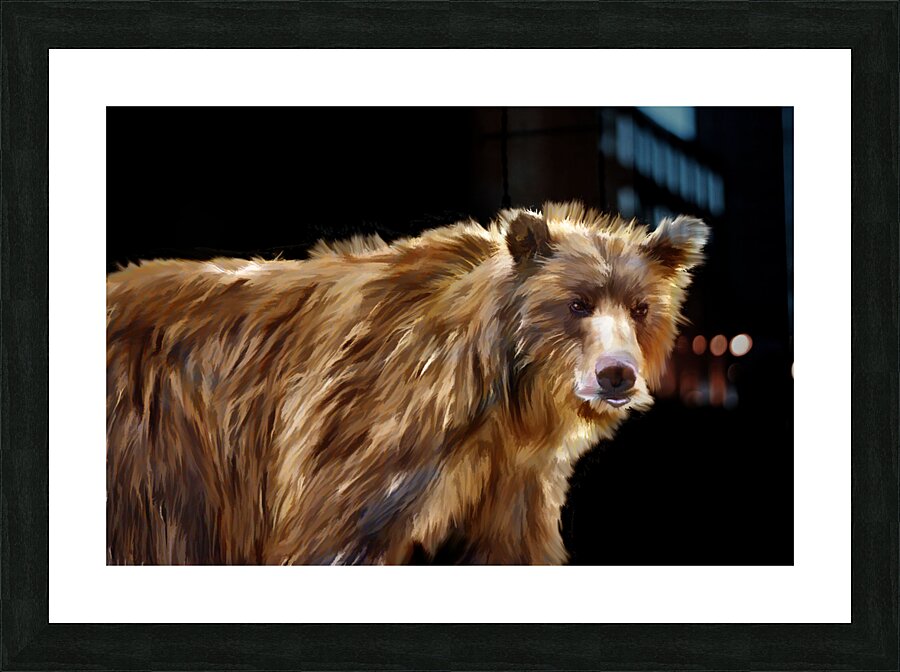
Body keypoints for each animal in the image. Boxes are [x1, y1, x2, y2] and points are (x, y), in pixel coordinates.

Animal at [106, 201, 708, 565]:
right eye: (577, 303)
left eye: (641, 307)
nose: (616, 374)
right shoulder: (366, 433)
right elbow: (333, 534)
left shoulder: (514, 478)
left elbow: (513, 545)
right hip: (160, 452)